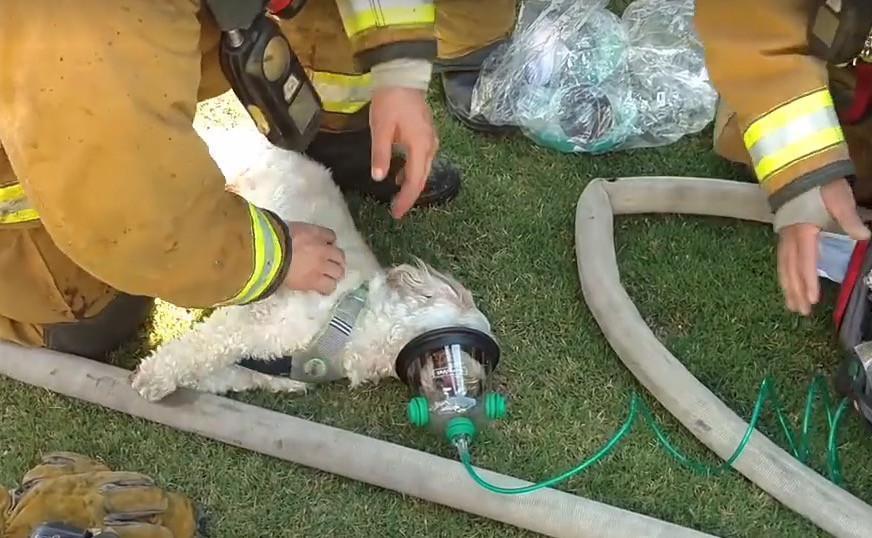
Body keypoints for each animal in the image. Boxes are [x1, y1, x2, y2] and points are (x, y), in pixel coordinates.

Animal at [132, 120, 494, 398]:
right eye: (473, 347)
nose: (478, 386)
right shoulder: (254, 320)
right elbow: (201, 347)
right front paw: (153, 374)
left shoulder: (258, 370)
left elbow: (209, 369)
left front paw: (161, 380)